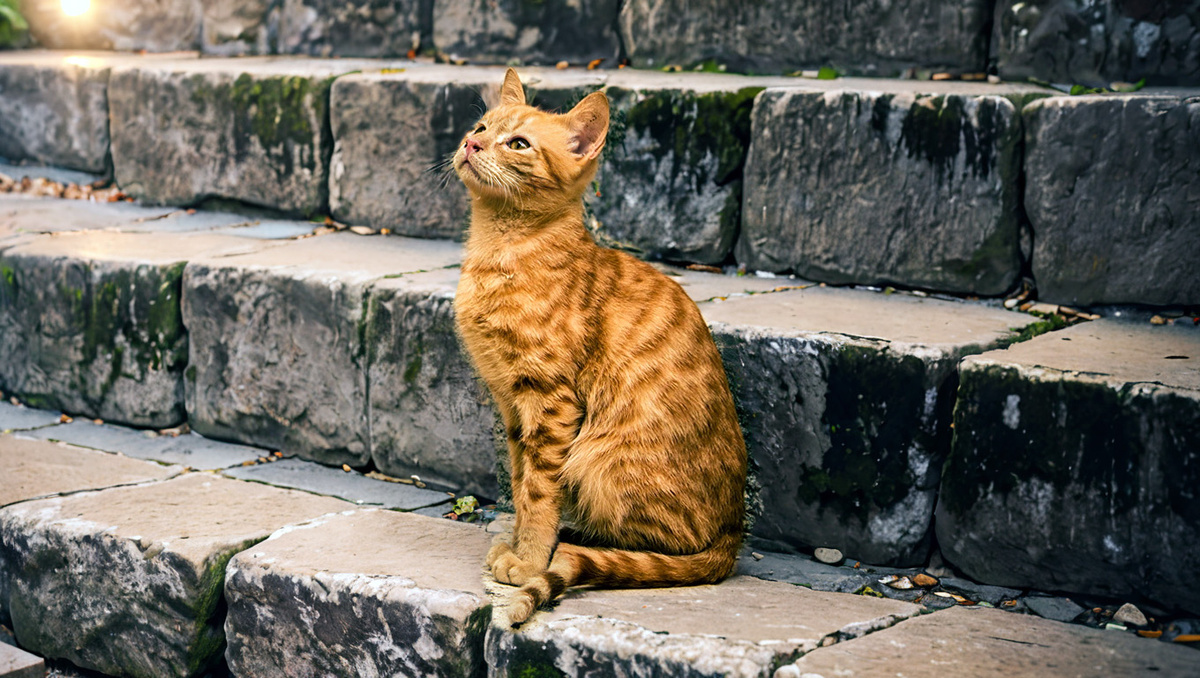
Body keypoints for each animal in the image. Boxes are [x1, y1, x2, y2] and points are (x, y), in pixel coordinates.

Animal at [451, 68, 744, 624]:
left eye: (517, 144)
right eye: (480, 127)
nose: (471, 143)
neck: (498, 250)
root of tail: (734, 533)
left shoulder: (550, 401)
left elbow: (538, 492)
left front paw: (529, 559)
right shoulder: (512, 407)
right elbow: (520, 484)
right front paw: (520, 545)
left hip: (596, 458)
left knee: (662, 546)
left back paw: (573, 547)